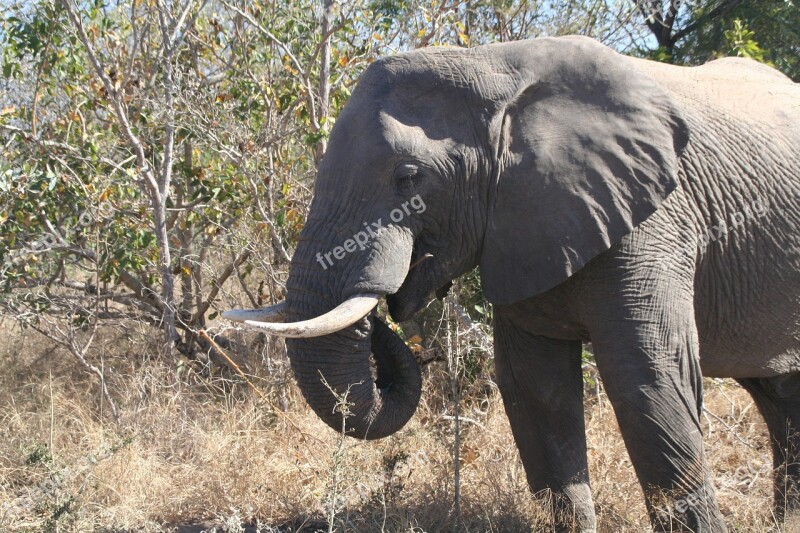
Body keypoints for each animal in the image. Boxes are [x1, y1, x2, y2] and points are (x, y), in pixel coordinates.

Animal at [225, 37, 800, 532]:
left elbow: (648, 379)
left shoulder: (654, 222)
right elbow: (535, 388)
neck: (495, 68)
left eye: (408, 178)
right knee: (779, 394)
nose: (392, 300)